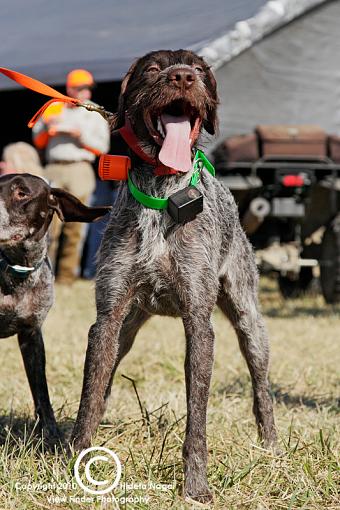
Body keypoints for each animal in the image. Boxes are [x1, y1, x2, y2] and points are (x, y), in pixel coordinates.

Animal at [71, 49, 276, 504]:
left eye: (199, 70)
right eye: (152, 69)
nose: (182, 77)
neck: (162, 194)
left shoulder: (199, 323)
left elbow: (196, 418)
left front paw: (196, 485)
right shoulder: (107, 318)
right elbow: (90, 395)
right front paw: (74, 463)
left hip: (249, 320)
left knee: (261, 387)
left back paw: (272, 445)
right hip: (128, 326)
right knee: (107, 375)